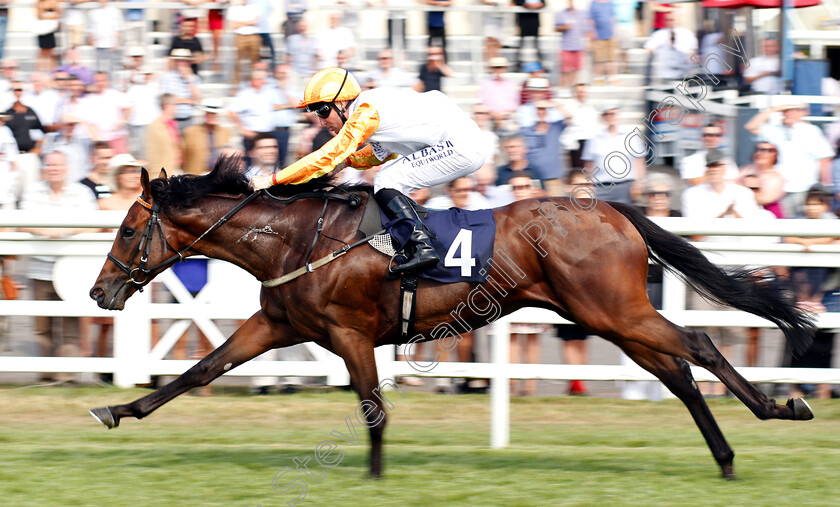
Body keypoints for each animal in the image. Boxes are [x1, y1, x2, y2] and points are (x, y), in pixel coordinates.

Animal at [87, 159, 812, 480]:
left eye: (126, 228)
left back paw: (782, 408)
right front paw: (117, 410)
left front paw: (375, 474)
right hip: (610, 316)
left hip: (612, 308)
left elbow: (373, 406)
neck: (295, 239)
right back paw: (725, 456)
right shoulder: (279, 325)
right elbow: (201, 369)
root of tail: (610, 210)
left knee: (697, 343)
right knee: (678, 374)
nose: (100, 291)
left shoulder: (350, 333)